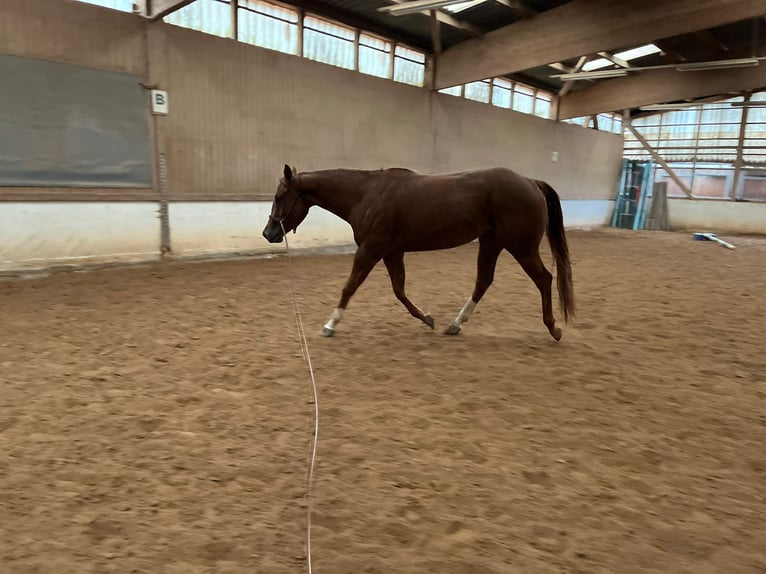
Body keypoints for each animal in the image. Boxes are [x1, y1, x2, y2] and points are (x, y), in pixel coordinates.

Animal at [262, 164, 575, 340]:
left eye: (279, 197)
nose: (269, 233)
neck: (367, 195)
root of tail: (531, 182)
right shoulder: (391, 252)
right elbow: (399, 291)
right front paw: (427, 319)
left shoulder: (370, 250)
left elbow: (349, 287)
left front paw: (330, 325)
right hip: (491, 243)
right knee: (483, 281)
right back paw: (455, 325)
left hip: (520, 247)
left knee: (544, 279)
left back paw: (554, 329)